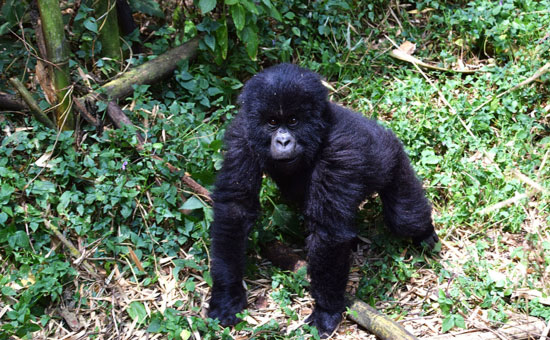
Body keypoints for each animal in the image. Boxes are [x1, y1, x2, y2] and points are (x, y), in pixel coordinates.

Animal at [208, 62, 440, 336]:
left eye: (293, 121)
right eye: (272, 122)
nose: (283, 140)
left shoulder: (340, 150)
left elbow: (328, 233)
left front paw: (326, 310)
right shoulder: (242, 136)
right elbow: (235, 208)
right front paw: (227, 294)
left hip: (394, 157)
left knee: (404, 217)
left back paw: (424, 232)